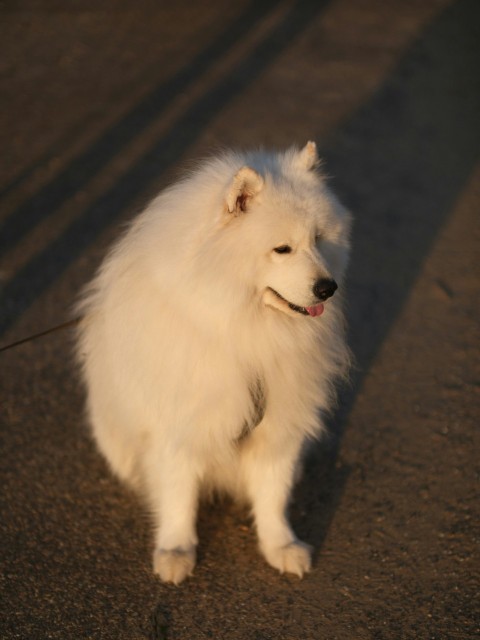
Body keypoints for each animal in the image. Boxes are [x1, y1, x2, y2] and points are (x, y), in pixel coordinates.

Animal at [76, 141, 352, 584]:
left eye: (319, 240)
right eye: (282, 249)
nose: (328, 288)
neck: (245, 328)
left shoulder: (279, 424)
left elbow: (273, 495)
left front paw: (280, 546)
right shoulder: (180, 427)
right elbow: (178, 496)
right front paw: (175, 550)